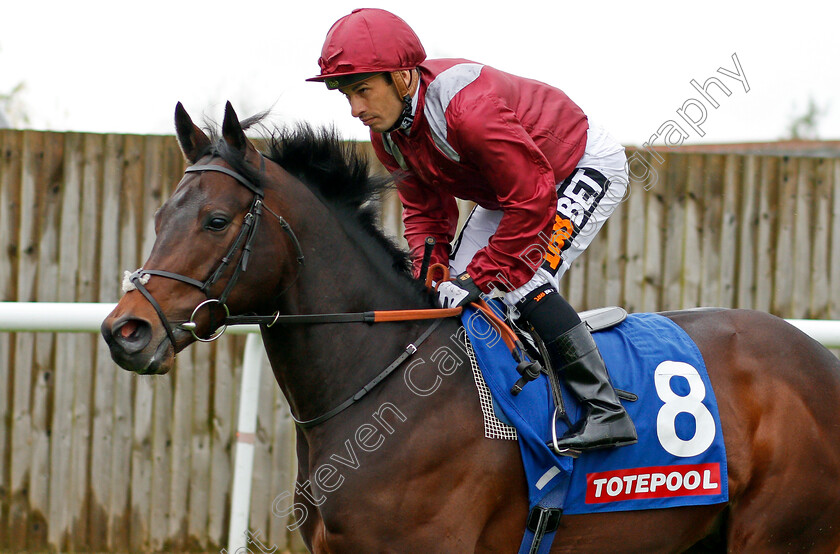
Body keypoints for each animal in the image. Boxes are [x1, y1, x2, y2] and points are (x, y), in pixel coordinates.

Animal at [101, 101, 840, 548]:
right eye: (162, 216)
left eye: (215, 220)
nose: (125, 331)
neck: (385, 384)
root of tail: (820, 362)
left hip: (780, 534)